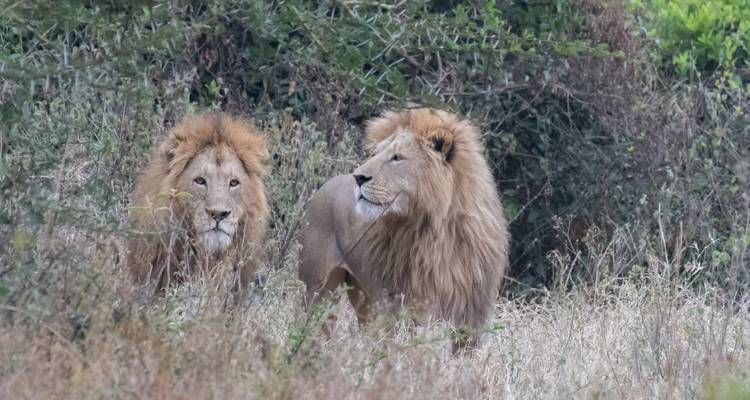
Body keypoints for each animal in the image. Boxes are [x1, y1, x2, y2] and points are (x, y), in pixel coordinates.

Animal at [299, 108, 509, 350]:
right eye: (376, 153)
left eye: (397, 157)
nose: (358, 177)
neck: (439, 229)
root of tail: (324, 186)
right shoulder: (406, 303)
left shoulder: (475, 311)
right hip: (318, 287)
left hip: (363, 296)